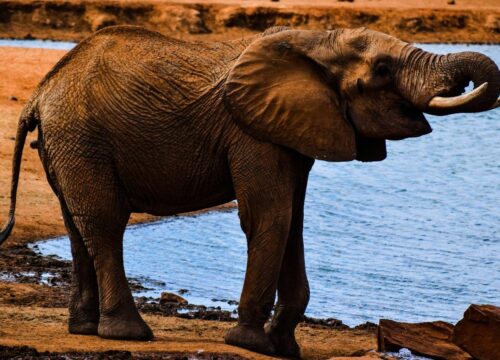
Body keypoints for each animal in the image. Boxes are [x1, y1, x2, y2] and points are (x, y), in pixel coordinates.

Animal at [0, 26, 498, 358]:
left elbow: (294, 220)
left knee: (75, 224)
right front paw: (253, 344)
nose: (469, 84)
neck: (316, 40)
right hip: (81, 137)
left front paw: (284, 347)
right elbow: (269, 216)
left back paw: (83, 329)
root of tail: (40, 92)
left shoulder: (293, 130)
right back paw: (128, 333)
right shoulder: (252, 134)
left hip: (68, 143)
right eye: (381, 69)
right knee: (105, 223)